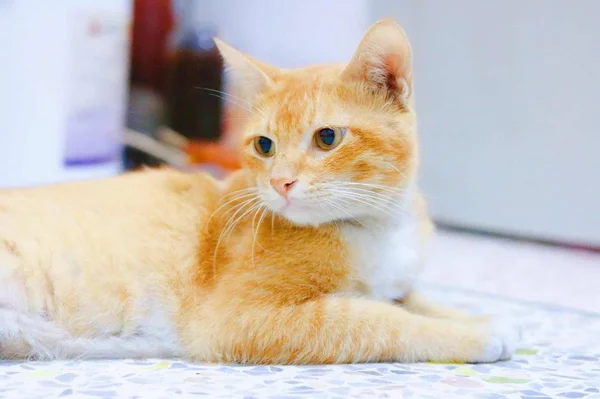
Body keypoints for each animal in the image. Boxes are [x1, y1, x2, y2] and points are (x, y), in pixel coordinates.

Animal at [0, 20, 516, 364]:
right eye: (264, 145)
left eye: (327, 138)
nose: (280, 182)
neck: (375, 227)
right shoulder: (240, 320)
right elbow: (376, 320)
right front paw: (476, 336)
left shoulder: (396, 281)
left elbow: (414, 299)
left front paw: (479, 318)